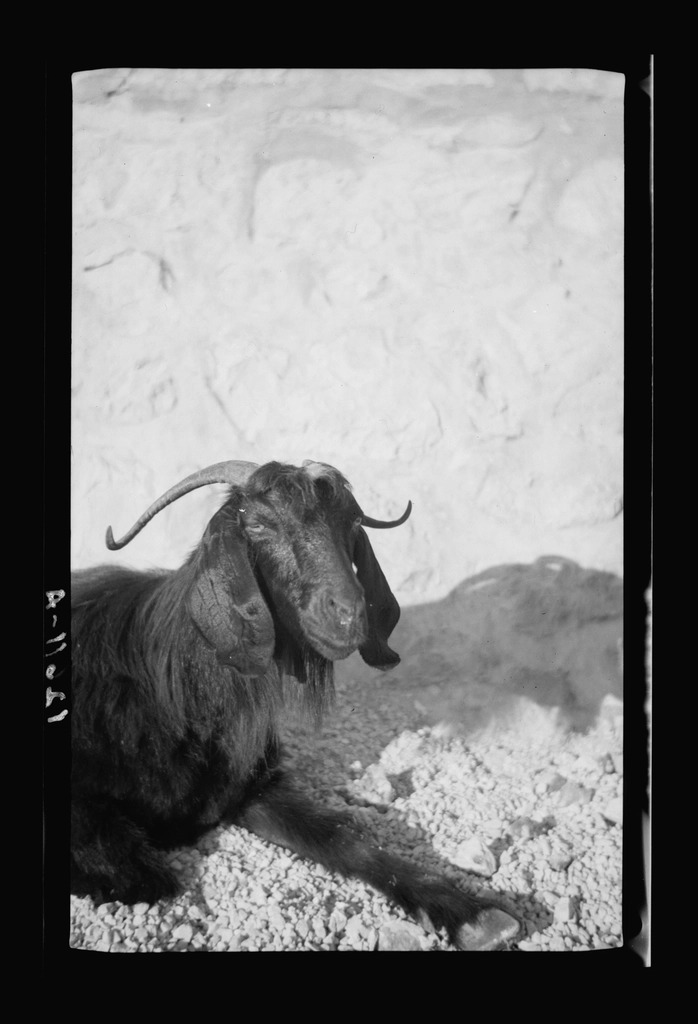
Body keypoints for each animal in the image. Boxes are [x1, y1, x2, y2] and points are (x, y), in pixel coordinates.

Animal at [71, 459, 520, 950]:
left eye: (353, 523)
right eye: (258, 525)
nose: (349, 614)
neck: (179, 697)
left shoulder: (255, 787)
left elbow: (345, 836)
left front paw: (472, 913)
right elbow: (146, 876)